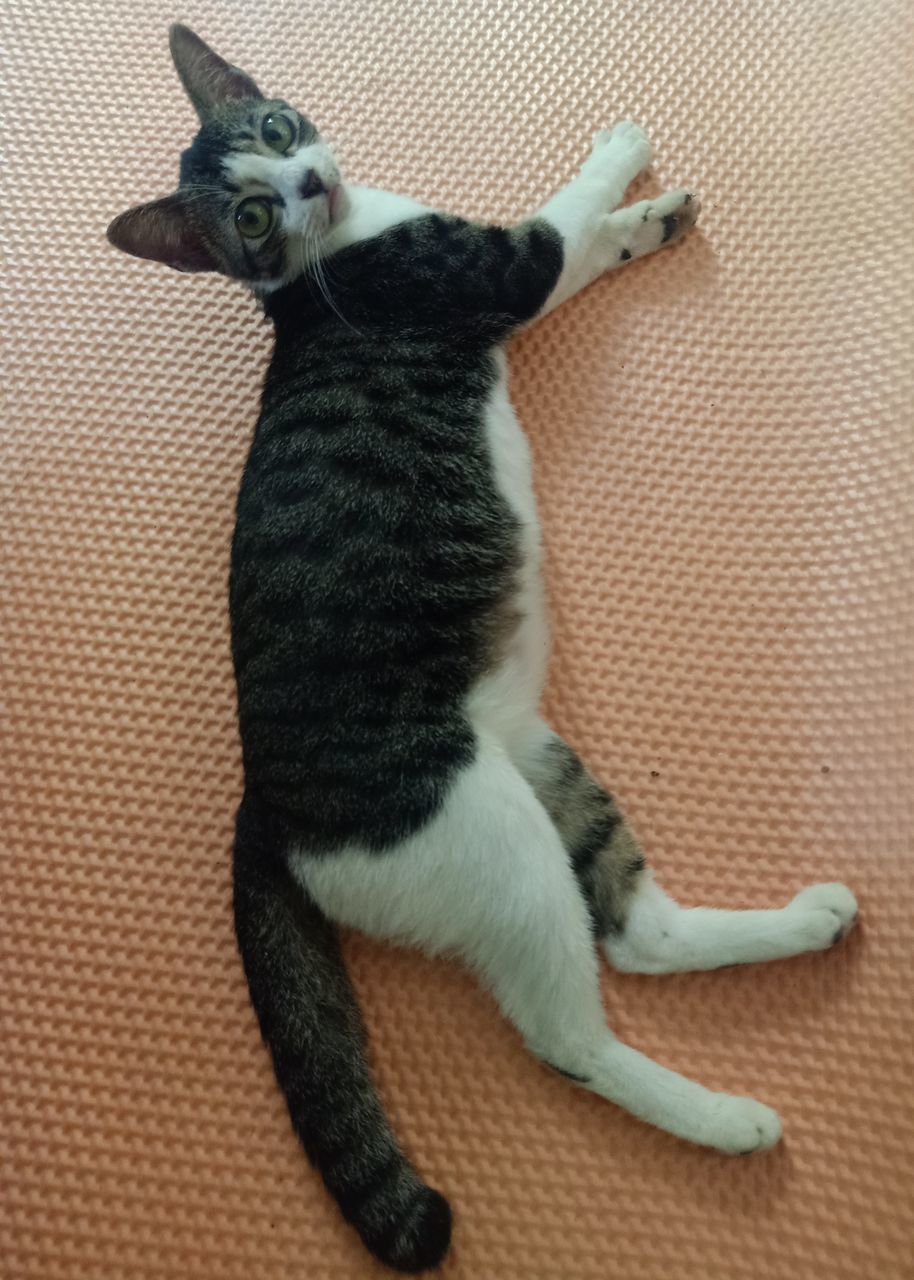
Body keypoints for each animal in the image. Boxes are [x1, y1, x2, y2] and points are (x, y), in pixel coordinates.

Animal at [110, 24, 860, 1274]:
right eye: (251, 217)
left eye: (273, 129)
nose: (303, 179)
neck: (341, 247)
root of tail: (263, 803)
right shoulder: (500, 267)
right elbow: (562, 219)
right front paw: (621, 159)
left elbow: (592, 243)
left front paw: (651, 220)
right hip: (489, 835)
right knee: (566, 1031)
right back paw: (726, 1119)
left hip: (540, 760)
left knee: (637, 932)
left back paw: (804, 922)